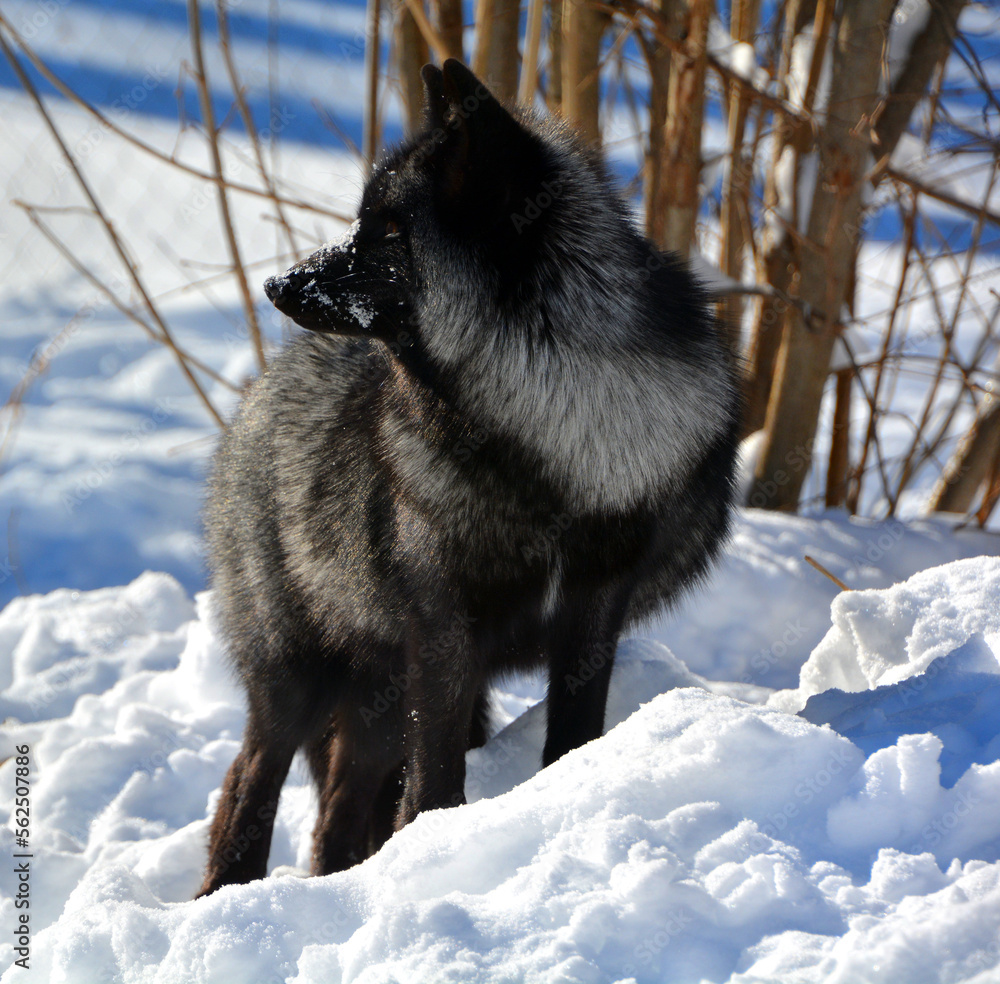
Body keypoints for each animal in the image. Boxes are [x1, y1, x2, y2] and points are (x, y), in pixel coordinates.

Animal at [196, 59, 741, 896]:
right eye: (360, 222)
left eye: (388, 234)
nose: (279, 286)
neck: (551, 438)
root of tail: (255, 398)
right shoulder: (443, 629)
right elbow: (435, 780)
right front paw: (436, 845)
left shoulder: (594, 604)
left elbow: (572, 733)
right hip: (299, 679)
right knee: (245, 786)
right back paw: (229, 893)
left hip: (376, 700)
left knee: (335, 816)